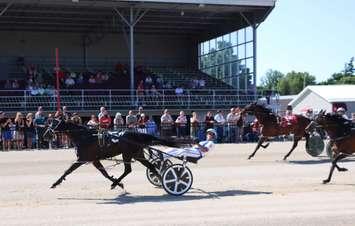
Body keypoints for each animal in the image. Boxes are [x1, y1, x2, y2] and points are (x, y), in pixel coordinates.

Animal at [43, 119, 182, 190]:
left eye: (53, 124)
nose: (45, 135)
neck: (85, 137)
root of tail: (137, 134)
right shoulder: (94, 160)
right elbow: (104, 173)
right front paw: (118, 183)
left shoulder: (82, 159)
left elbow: (68, 171)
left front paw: (55, 183)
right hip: (137, 154)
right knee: (150, 166)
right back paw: (162, 180)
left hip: (127, 154)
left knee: (128, 170)